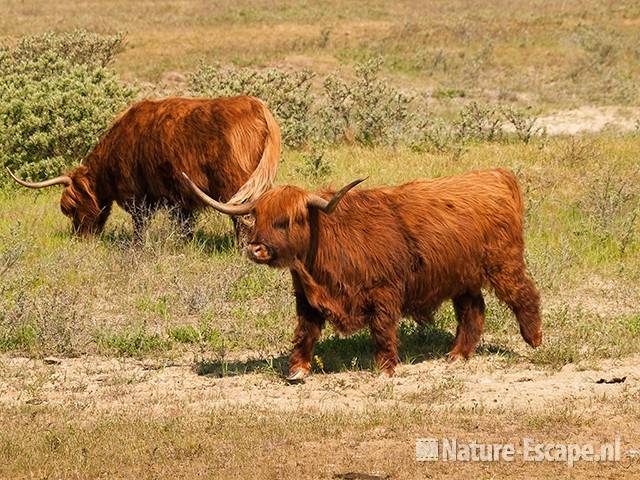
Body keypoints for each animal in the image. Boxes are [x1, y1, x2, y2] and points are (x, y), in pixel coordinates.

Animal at [5, 96, 280, 242]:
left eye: (71, 208)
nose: (80, 237)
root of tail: (257, 107)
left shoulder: (137, 195)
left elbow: (139, 223)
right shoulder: (180, 198)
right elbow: (184, 224)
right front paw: (186, 243)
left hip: (235, 182)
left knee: (242, 215)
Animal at [182, 167, 544, 380]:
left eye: (288, 220)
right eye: (258, 217)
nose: (256, 248)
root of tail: (495, 175)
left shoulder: (384, 292)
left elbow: (382, 330)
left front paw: (385, 369)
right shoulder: (307, 298)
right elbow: (305, 332)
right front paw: (297, 369)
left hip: (503, 263)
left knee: (524, 294)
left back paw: (534, 339)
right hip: (462, 277)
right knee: (473, 311)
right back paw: (457, 355)